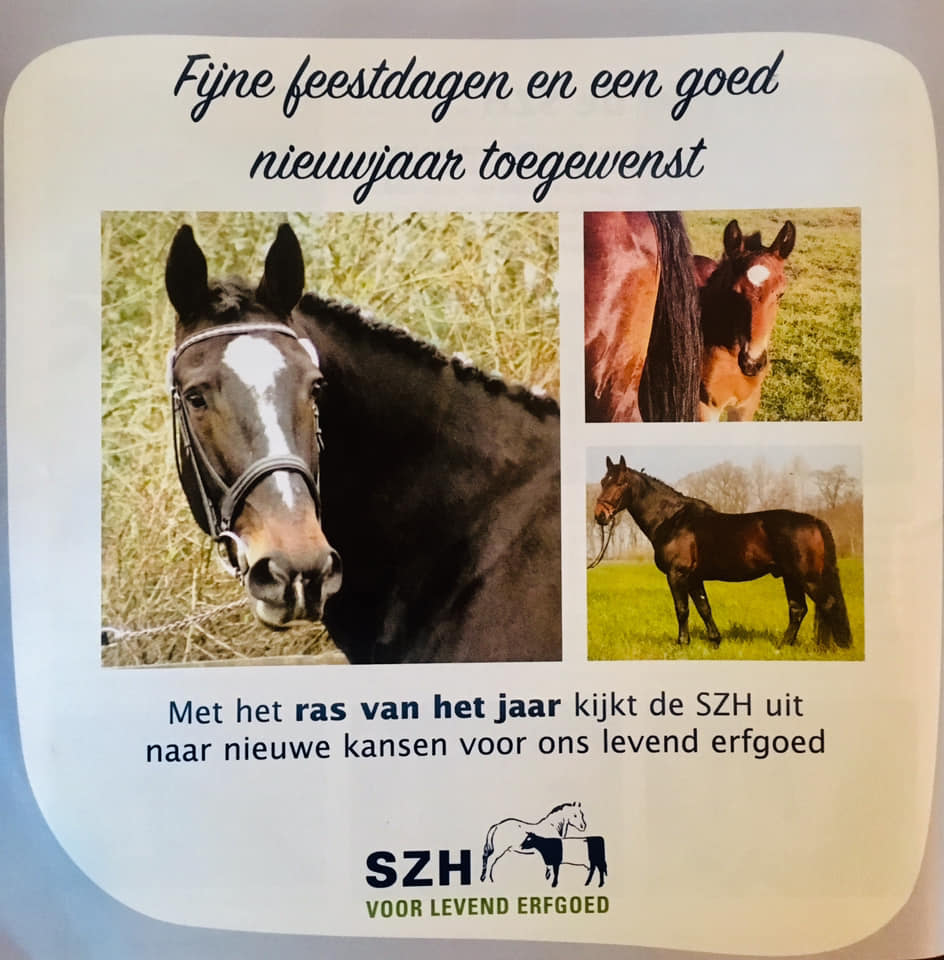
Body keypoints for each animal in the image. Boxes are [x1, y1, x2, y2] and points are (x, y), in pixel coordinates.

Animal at [593, 456, 852, 649]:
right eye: (603, 481)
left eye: (619, 483)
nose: (599, 515)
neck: (672, 520)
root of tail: (814, 520)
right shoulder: (694, 578)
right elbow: (704, 608)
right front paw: (715, 641)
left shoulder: (677, 575)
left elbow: (682, 609)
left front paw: (682, 643)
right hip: (791, 577)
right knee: (798, 610)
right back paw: (782, 646)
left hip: (808, 578)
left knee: (828, 605)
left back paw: (831, 648)